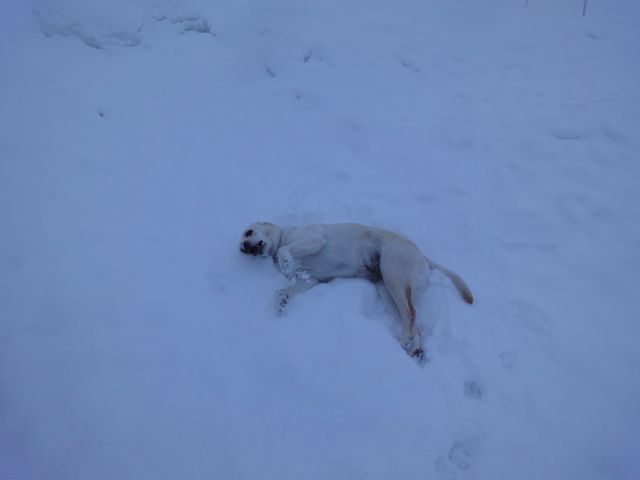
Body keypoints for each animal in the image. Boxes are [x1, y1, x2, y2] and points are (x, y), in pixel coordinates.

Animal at [239, 222, 473, 360]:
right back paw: (413, 347)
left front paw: (286, 260)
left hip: (394, 272)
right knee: (415, 324)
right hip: (385, 290)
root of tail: (424, 258)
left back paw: (406, 342)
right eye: (241, 247)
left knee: (411, 313)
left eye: (248, 232)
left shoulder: (314, 240)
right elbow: (281, 292)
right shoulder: (309, 280)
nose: (246, 248)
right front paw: (281, 304)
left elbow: (284, 250)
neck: (284, 236)